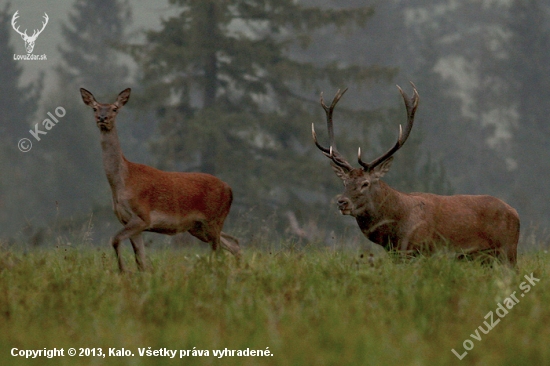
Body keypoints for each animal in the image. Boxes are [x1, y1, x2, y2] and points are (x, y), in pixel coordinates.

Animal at [314, 84, 520, 264]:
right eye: (344, 183)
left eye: (365, 183)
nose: (342, 202)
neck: (395, 230)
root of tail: (516, 214)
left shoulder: (420, 251)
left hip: (508, 252)